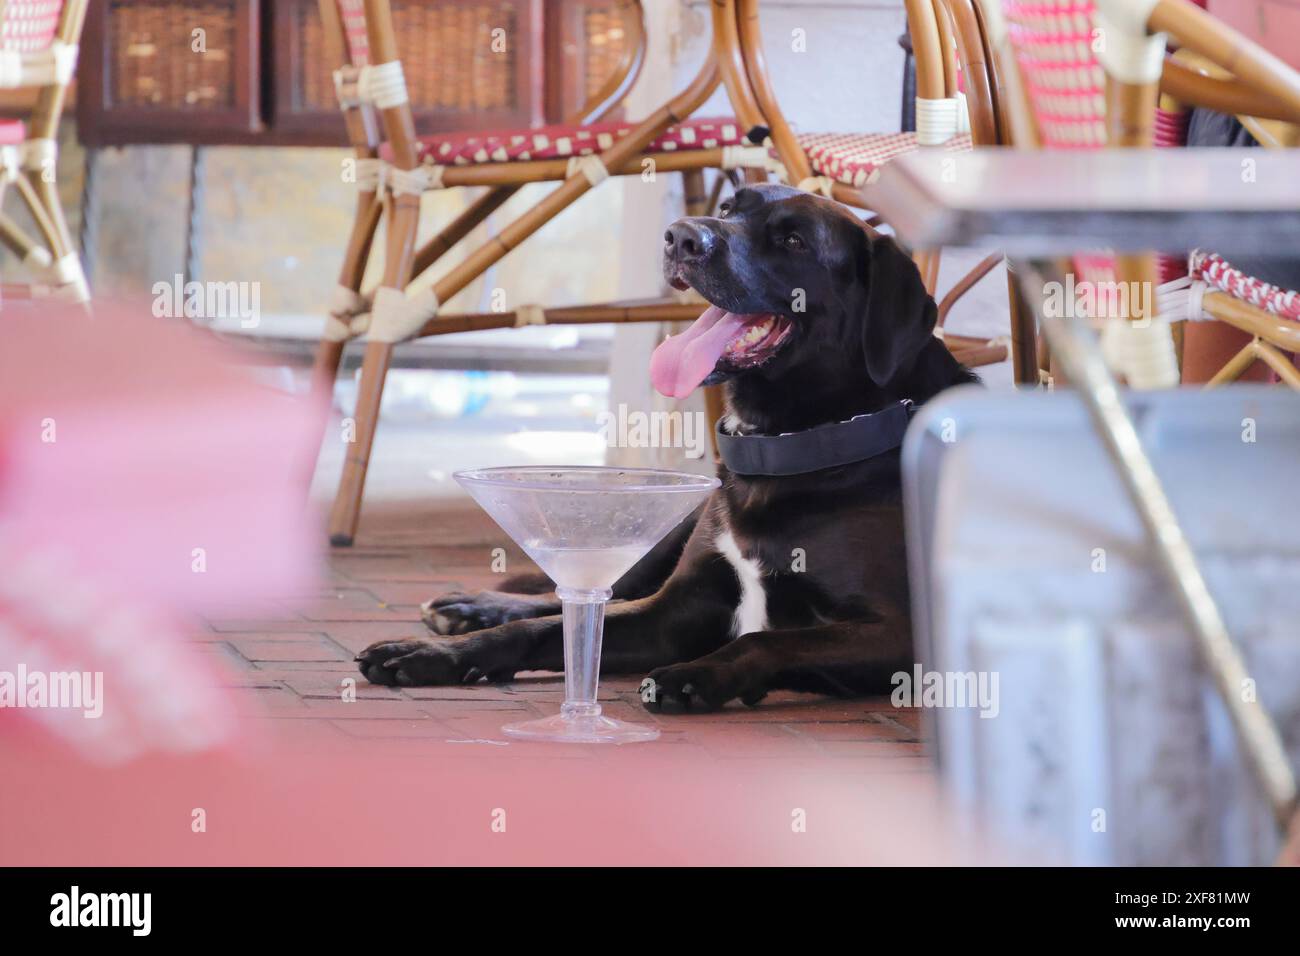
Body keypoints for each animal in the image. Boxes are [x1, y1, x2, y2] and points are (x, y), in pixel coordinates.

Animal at [358, 184, 977, 712]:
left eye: (794, 240)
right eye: (728, 207)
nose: (680, 237)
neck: (786, 447)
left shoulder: (901, 636)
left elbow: (768, 641)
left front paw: (698, 674)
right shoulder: (675, 608)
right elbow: (543, 626)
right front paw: (435, 655)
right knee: (590, 587)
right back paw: (470, 609)